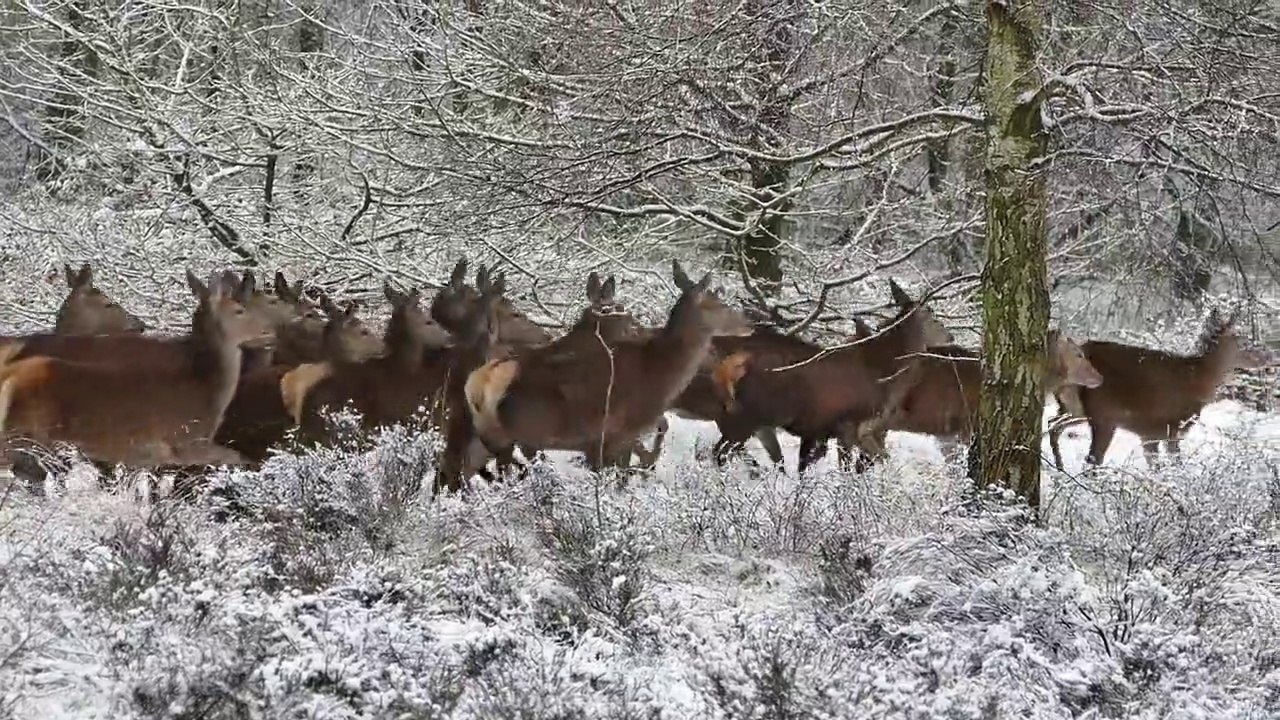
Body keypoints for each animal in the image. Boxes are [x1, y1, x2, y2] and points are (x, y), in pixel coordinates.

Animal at [0, 271, 275, 480]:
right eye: (239, 310)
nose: (269, 331)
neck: (205, 390)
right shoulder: (184, 441)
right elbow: (239, 457)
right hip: (24, 436)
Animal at [456, 260, 754, 483]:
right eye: (717, 303)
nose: (749, 323)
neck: (660, 374)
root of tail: (480, 383)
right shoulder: (617, 433)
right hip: (521, 430)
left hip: (486, 434)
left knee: (461, 470)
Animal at [709, 279, 953, 475]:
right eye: (932, 315)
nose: (949, 336)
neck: (884, 374)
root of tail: (726, 367)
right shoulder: (850, 424)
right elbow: (850, 469)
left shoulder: (825, 431)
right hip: (748, 416)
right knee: (719, 453)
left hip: (739, 416)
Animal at [1046, 309, 1271, 471]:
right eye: (1242, 340)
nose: (1269, 356)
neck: (1198, 380)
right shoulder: (1171, 426)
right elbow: (1174, 466)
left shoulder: (1149, 433)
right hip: (1104, 413)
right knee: (1092, 459)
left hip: (1075, 409)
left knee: (1053, 424)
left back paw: (1059, 469)